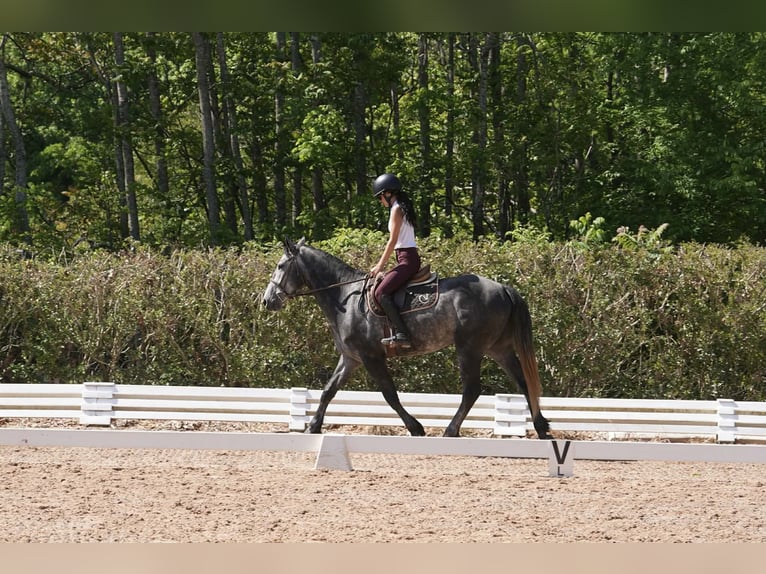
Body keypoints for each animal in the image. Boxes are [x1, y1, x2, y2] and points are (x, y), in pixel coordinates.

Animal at [262, 238, 551, 439]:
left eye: (280, 266)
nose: (267, 301)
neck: (345, 297)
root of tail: (503, 287)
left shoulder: (371, 357)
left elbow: (389, 394)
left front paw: (416, 427)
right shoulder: (351, 358)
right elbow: (328, 391)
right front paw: (313, 426)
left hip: (469, 348)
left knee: (472, 389)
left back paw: (451, 430)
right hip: (498, 348)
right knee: (524, 383)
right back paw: (542, 427)